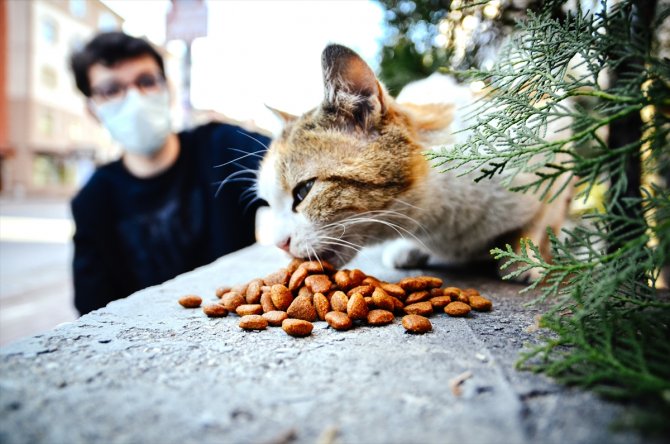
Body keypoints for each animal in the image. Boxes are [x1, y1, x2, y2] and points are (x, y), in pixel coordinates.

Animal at [255, 42, 576, 278]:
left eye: (304, 191)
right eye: (270, 203)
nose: (279, 244)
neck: (438, 222)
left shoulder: (552, 149)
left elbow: (536, 221)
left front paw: (525, 258)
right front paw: (408, 247)